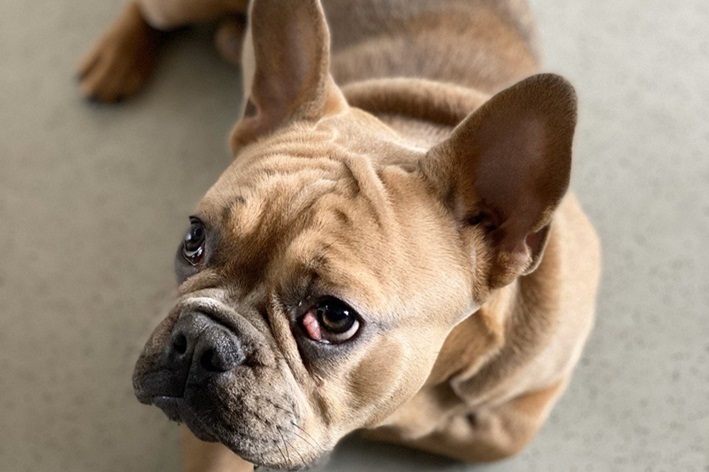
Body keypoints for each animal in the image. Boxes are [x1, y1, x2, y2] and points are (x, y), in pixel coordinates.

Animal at [81, 0, 596, 472]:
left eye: (334, 317)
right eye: (194, 240)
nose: (200, 337)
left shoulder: (533, 396)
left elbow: (486, 436)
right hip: (172, 8)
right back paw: (115, 60)